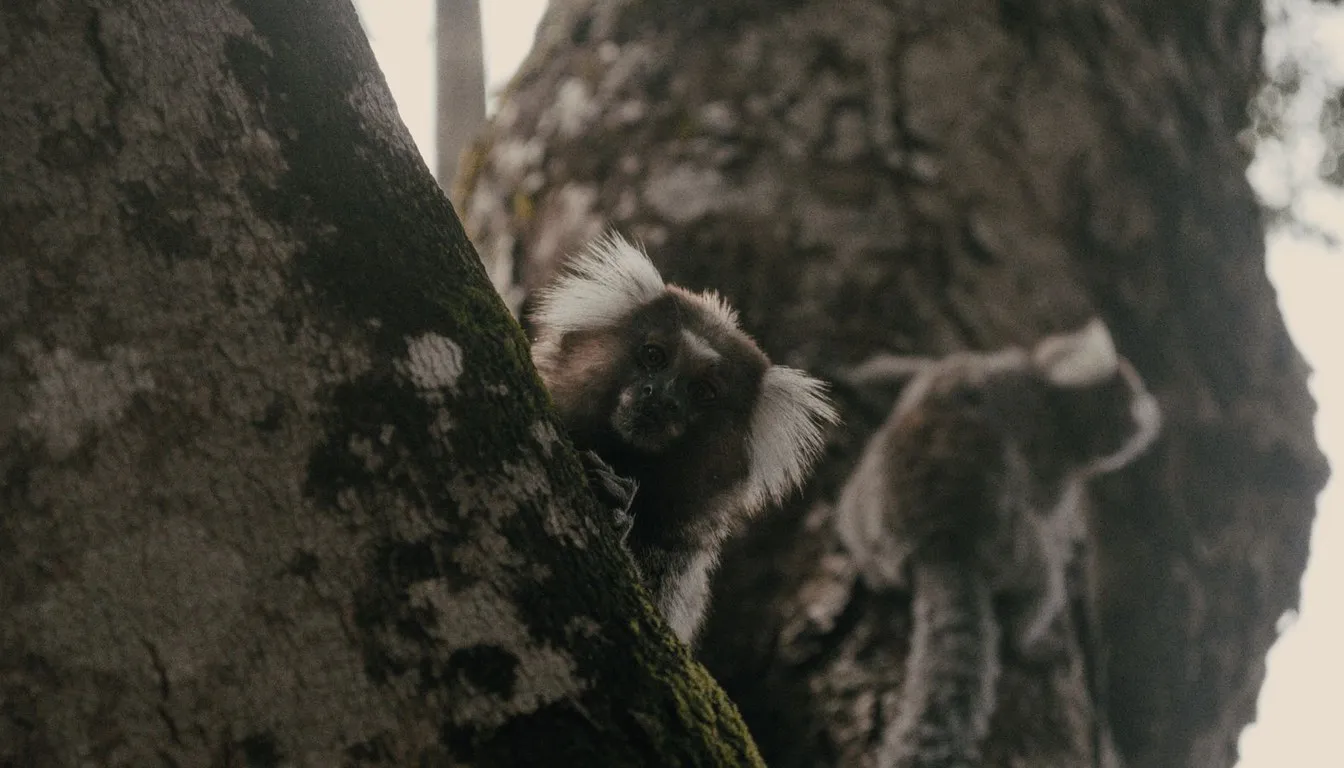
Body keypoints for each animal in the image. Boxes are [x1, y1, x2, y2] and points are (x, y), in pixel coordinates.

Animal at [832, 319, 1162, 768]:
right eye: (1126, 404)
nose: (1142, 423)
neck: (1051, 394)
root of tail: (940, 543)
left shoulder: (967, 363)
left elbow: (905, 373)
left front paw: (849, 376)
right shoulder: (1053, 453)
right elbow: (1051, 510)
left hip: (863, 515)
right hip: (1014, 548)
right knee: (1044, 578)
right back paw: (1031, 643)